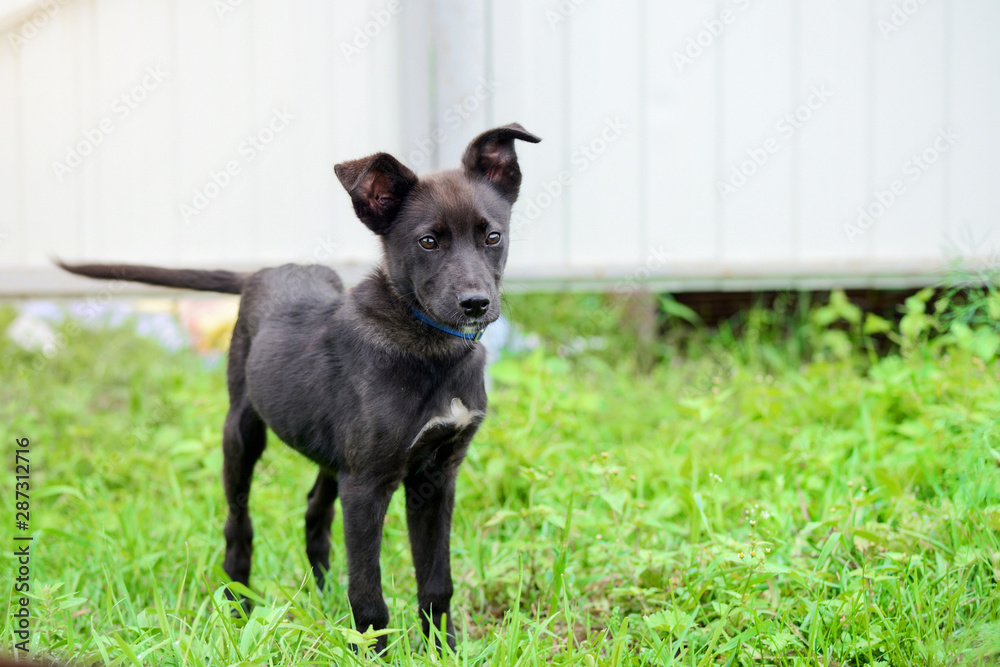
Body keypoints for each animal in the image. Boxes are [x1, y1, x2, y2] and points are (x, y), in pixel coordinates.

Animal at [59, 124, 544, 652]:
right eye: (428, 241)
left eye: (492, 236)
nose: (476, 303)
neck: (431, 347)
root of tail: (265, 271)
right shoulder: (367, 484)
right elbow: (368, 591)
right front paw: (374, 653)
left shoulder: (436, 476)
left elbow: (437, 581)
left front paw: (444, 650)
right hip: (242, 433)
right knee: (238, 526)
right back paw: (238, 606)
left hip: (333, 451)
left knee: (315, 511)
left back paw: (320, 596)